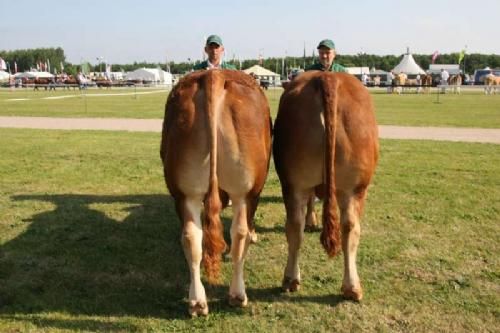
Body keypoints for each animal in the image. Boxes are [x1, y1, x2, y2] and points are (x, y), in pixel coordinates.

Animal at [160, 69, 272, 314]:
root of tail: (214, 75)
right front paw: (253, 235)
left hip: (185, 192)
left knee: (192, 236)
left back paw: (197, 302)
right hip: (246, 190)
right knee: (240, 233)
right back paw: (237, 295)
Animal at [274, 70, 378, 300]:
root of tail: (328, 77)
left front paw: (311, 221)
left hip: (300, 183)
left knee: (302, 226)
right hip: (353, 187)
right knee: (345, 228)